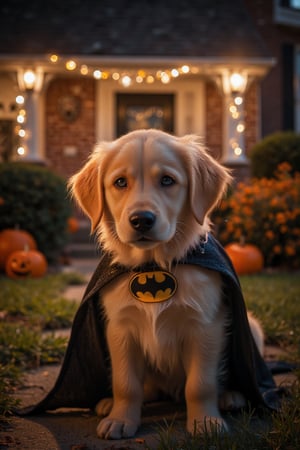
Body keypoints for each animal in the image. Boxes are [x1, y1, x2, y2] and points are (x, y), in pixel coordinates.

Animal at [69, 129, 264, 440]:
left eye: (167, 181)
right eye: (120, 182)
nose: (142, 220)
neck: (154, 264)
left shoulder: (205, 326)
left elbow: (200, 384)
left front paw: (204, 421)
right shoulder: (120, 328)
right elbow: (126, 383)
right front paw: (121, 419)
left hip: (253, 327)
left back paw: (231, 396)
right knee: (146, 387)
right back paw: (111, 402)